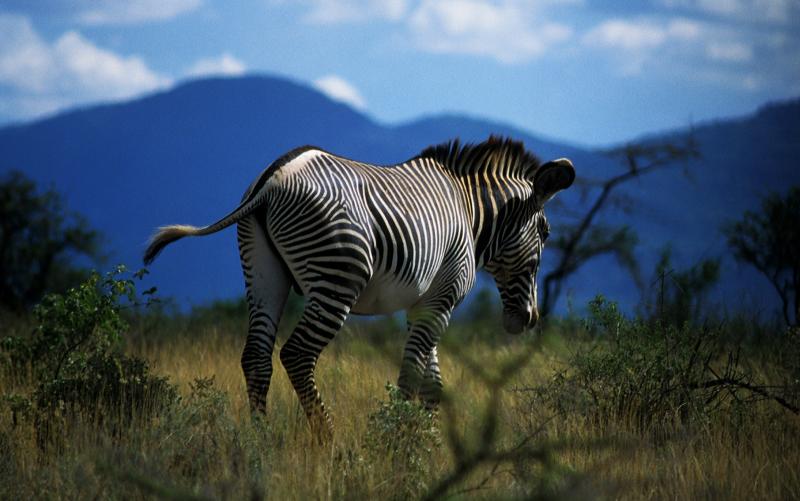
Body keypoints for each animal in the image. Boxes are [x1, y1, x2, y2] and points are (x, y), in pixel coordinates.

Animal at [144, 136, 576, 438]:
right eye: (546, 232)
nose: (528, 319)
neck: (469, 213)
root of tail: (272, 181)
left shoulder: (425, 302)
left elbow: (432, 385)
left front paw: (428, 446)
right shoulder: (442, 297)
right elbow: (411, 378)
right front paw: (399, 445)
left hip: (263, 273)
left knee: (256, 357)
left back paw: (258, 441)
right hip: (338, 274)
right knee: (297, 355)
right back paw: (329, 441)